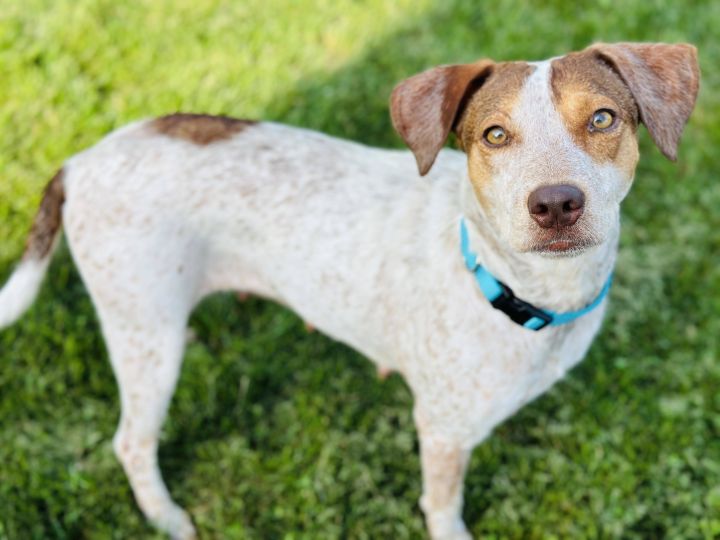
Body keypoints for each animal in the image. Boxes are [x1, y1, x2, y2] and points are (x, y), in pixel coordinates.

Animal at [0, 43, 696, 540]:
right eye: (495, 135)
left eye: (602, 119)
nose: (555, 204)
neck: (524, 289)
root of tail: (78, 162)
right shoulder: (442, 433)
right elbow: (442, 508)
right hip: (146, 343)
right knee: (131, 443)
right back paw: (167, 518)